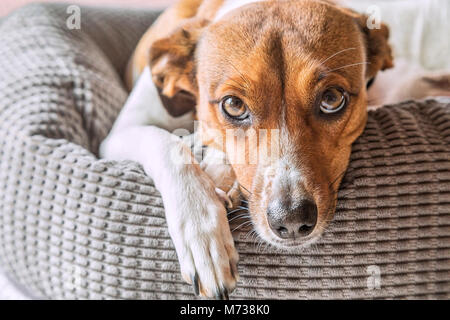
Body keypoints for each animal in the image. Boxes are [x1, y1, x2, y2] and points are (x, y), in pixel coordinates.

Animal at [99, 0, 394, 300]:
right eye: (234, 105)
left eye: (332, 98)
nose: (291, 219)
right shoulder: (116, 137)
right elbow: (169, 145)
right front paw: (202, 235)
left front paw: (218, 169)